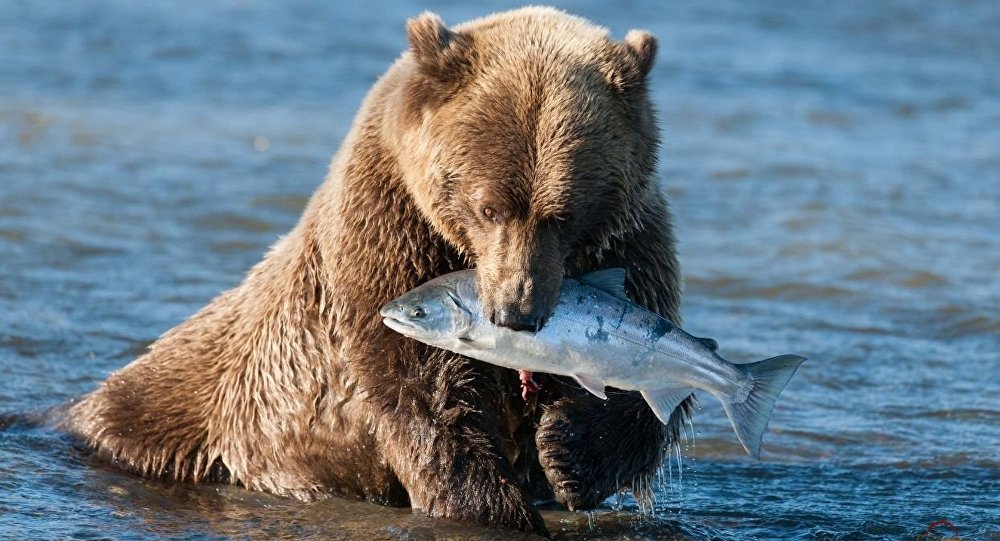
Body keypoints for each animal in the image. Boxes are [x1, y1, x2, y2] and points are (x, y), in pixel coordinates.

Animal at [60, 7, 688, 536]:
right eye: (489, 207)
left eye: (564, 214)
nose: (517, 311)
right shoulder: (389, 232)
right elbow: (423, 388)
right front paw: (493, 507)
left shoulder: (631, 242)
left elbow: (648, 380)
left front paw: (567, 449)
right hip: (193, 406)